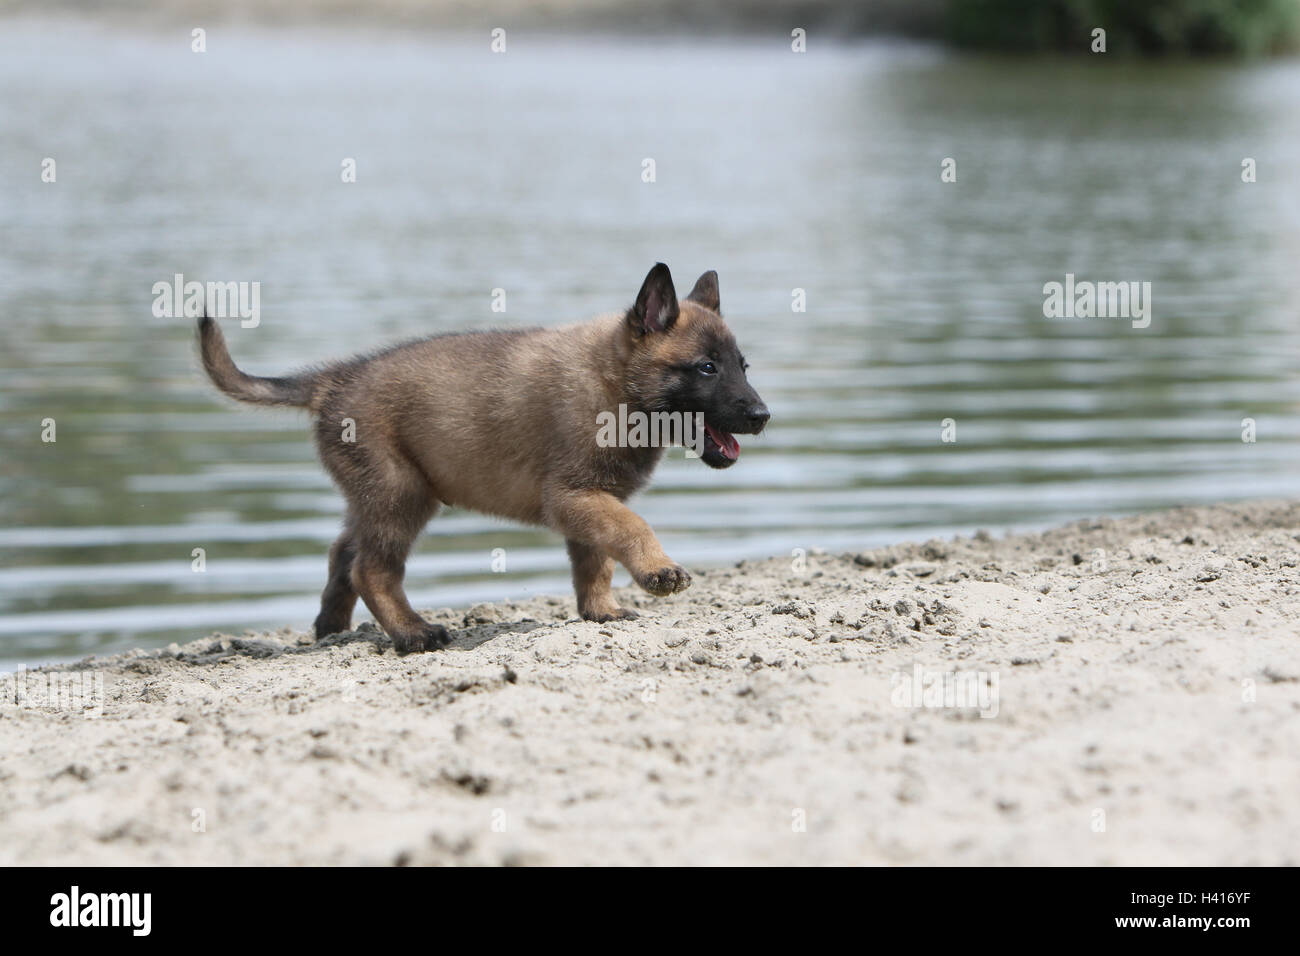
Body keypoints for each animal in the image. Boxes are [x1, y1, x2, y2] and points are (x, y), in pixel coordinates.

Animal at [201, 261, 764, 655]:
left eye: (743, 366)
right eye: (707, 368)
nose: (762, 415)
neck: (614, 385)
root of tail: (334, 379)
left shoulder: (590, 500)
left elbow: (595, 561)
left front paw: (601, 610)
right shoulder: (575, 495)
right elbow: (630, 529)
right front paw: (658, 570)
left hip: (380, 496)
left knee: (343, 552)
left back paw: (330, 629)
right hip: (400, 494)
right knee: (371, 570)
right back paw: (413, 633)